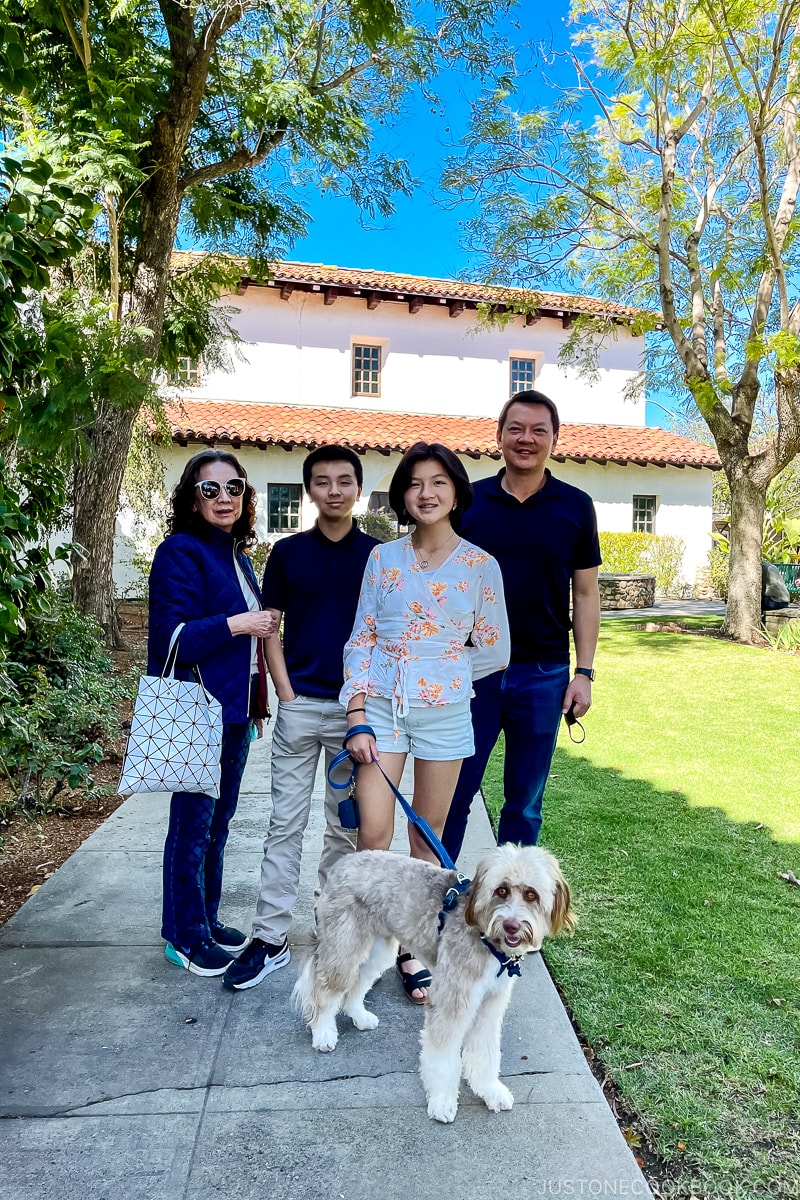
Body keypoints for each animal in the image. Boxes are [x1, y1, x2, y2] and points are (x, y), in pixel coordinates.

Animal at [291, 844, 573, 1123]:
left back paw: (359, 1015)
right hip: (344, 947)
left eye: (531, 894)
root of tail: (343, 863)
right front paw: (442, 1102)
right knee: (326, 991)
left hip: (379, 950)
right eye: (501, 890)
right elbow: (444, 1059)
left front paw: (490, 1091)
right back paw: (323, 1032)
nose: (512, 925)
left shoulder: (489, 1005)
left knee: (359, 982)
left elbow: (486, 1051)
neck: (485, 934)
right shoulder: (451, 1001)